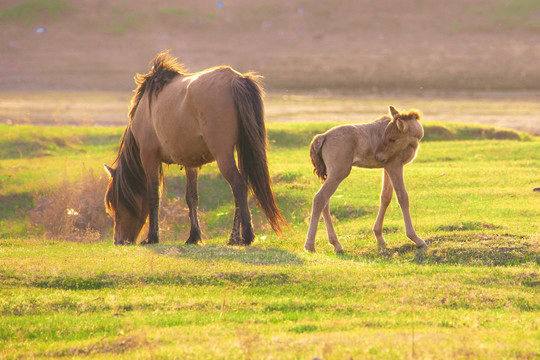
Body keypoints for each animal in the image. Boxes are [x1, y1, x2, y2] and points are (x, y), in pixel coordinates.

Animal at [103, 50, 284, 246]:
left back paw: (241, 236)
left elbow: (153, 196)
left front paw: (152, 237)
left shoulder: (149, 155)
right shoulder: (190, 161)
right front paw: (194, 236)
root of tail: (235, 80)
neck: (145, 109)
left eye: (115, 203)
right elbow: (192, 198)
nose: (118, 240)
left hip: (223, 154)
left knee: (238, 186)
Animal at [306, 105, 428, 253]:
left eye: (392, 138)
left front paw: (379, 237)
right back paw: (310, 246)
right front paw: (416, 239)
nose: (378, 156)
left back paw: (336, 244)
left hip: (331, 174)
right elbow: (402, 197)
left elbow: (385, 197)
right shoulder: (395, 165)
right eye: (388, 136)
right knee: (320, 198)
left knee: (325, 202)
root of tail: (323, 137)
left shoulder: (386, 166)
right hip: (338, 173)